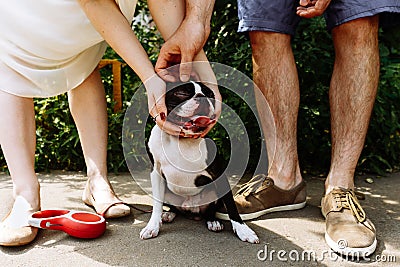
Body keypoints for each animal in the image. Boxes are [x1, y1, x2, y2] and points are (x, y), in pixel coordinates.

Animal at [140, 81, 260, 245]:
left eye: (210, 94)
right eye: (182, 93)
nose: (202, 97)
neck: (182, 140)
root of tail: (192, 211)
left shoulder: (219, 175)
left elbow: (231, 206)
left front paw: (243, 230)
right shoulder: (156, 173)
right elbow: (156, 205)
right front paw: (152, 226)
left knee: (211, 209)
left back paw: (213, 221)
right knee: (173, 207)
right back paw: (169, 214)